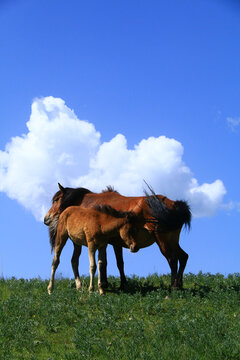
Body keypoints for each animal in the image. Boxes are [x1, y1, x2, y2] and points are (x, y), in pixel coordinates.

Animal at [44, 184, 191, 288]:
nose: (46, 218)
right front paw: (119, 284)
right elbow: (116, 262)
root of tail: (174, 204)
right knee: (183, 257)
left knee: (172, 260)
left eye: (56, 200)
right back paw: (179, 285)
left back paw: (172, 289)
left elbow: (107, 263)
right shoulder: (114, 242)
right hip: (172, 240)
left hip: (162, 239)